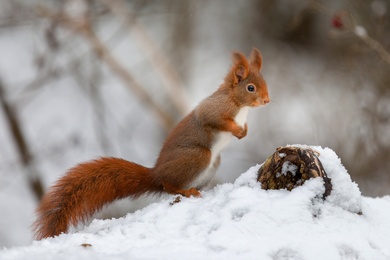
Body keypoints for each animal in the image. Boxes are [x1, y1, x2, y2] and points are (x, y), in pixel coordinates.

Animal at [33, 47, 270, 240]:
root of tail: (155, 174)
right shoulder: (214, 110)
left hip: (212, 163)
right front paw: (236, 130)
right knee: (168, 185)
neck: (239, 105)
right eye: (250, 88)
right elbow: (214, 120)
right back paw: (185, 191)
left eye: (264, 83)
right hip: (198, 156)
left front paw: (244, 132)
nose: (267, 100)